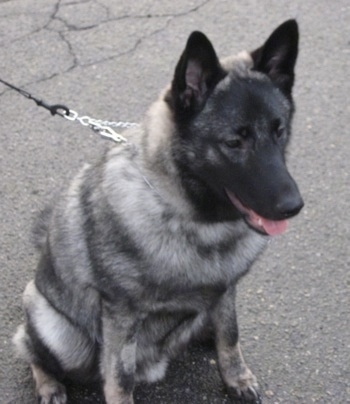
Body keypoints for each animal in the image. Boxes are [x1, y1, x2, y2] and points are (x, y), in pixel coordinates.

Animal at [13, 20, 304, 402]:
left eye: (279, 130)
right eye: (234, 142)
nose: (293, 206)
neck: (195, 222)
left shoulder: (226, 292)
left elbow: (230, 335)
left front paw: (236, 378)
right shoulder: (121, 317)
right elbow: (119, 377)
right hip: (59, 332)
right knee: (29, 347)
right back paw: (49, 384)